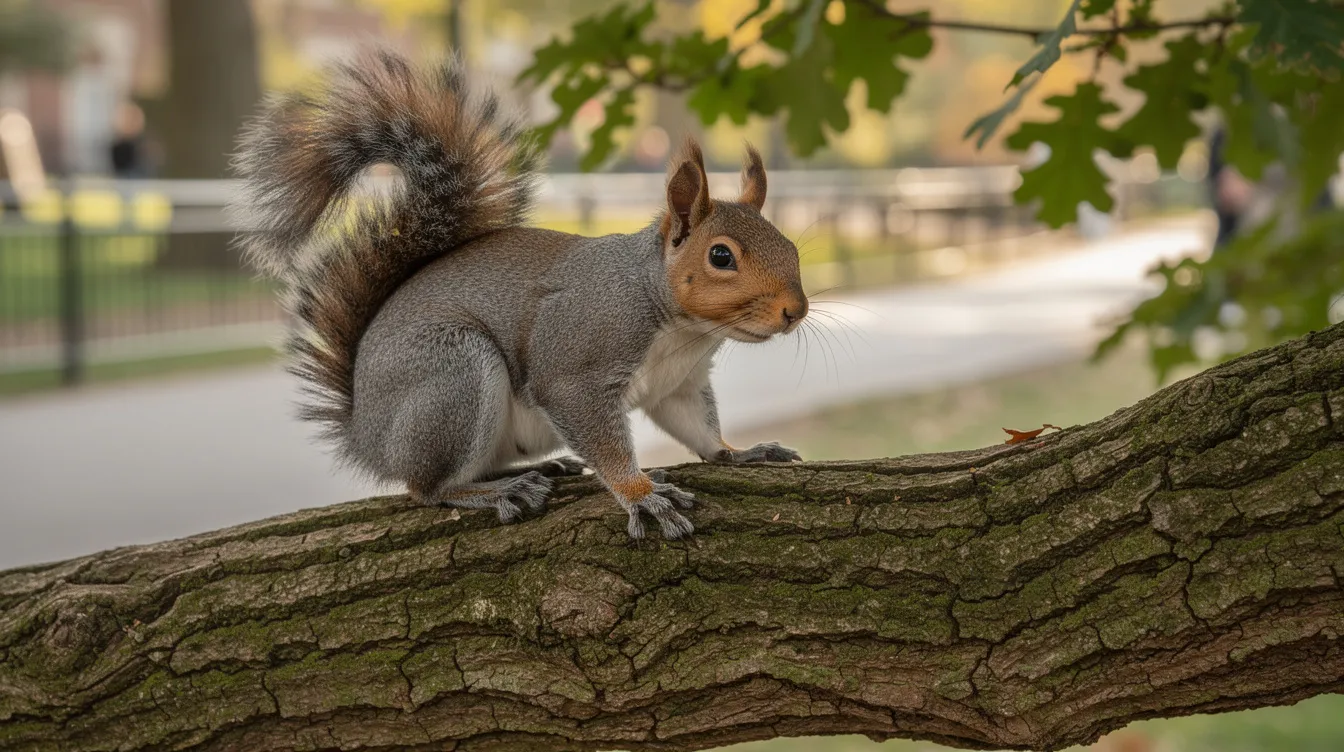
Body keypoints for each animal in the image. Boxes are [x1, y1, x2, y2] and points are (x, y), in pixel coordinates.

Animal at [232, 50, 807, 540]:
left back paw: (540, 466)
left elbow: (699, 428)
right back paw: (496, 490)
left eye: (792, 245)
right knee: (426, 488)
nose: (795, 311)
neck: (681, 328)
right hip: (452, 378)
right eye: (721, 257)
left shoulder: (679, 385)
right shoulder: (576, 365)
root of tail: (367, 434)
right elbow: (601, 438)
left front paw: (740, 452)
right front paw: (642, 495)